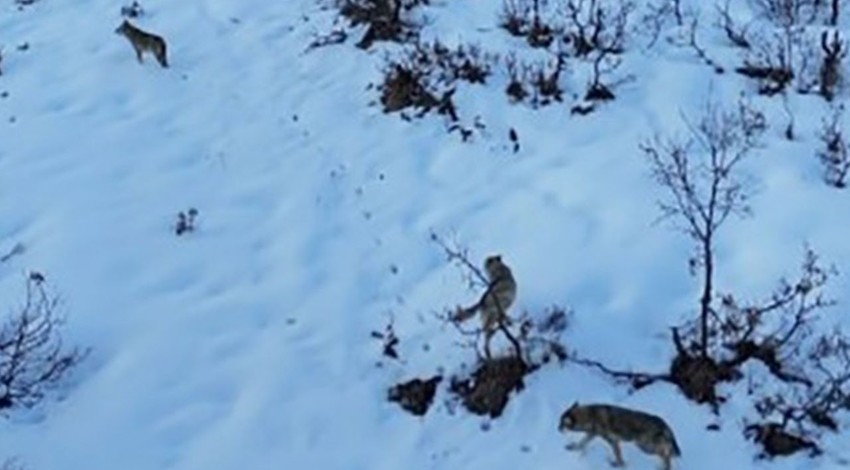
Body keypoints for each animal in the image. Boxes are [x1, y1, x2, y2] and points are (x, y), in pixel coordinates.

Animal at [556, 400, 684, 470]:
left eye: (561, 424)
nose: (557, 429)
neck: (591, 416)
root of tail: (663, 422)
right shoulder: (594, 435)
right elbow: (582, 443)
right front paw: (572, 447)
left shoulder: (612, 440)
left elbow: (618, 456)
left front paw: (617, 465)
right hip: (646, 446)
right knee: (667, 452)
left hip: (644, 446)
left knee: (666, 454)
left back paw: (665, 466)